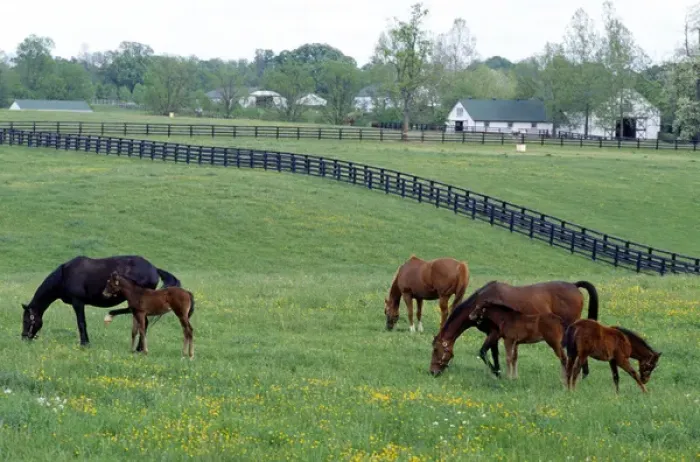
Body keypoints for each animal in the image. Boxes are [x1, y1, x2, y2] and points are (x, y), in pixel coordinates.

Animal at [21, 255, 181, 348]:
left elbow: (81, 323)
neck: (64, 275)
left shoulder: (78, 302)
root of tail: (154, 269)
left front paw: (84, 344)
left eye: (26, 320)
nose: (24, 338)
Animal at [429, 279, 599, 377]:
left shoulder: (494, 333)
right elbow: (494, 353)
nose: (432, 372)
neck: (483, 303)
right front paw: (498, 371)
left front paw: (497, 373)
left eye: (436, 350)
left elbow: (483, 352)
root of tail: (574, 286)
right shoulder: (494, 335)